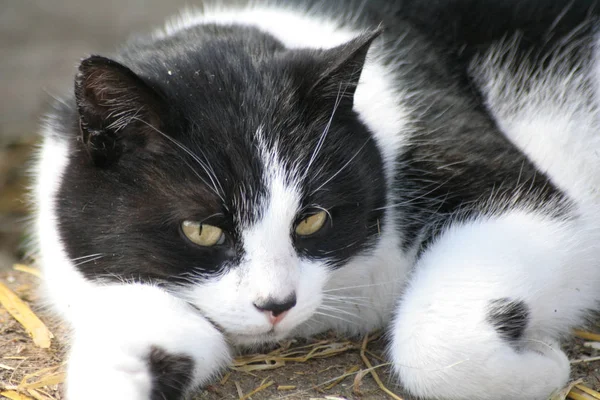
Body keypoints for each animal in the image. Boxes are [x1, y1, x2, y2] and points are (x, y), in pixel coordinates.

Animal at [34, 0, 600, 400]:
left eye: (311, 220)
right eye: (201, 229)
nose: (276, 306)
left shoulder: (513, 185)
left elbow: (435, 346)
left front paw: (545, 366)